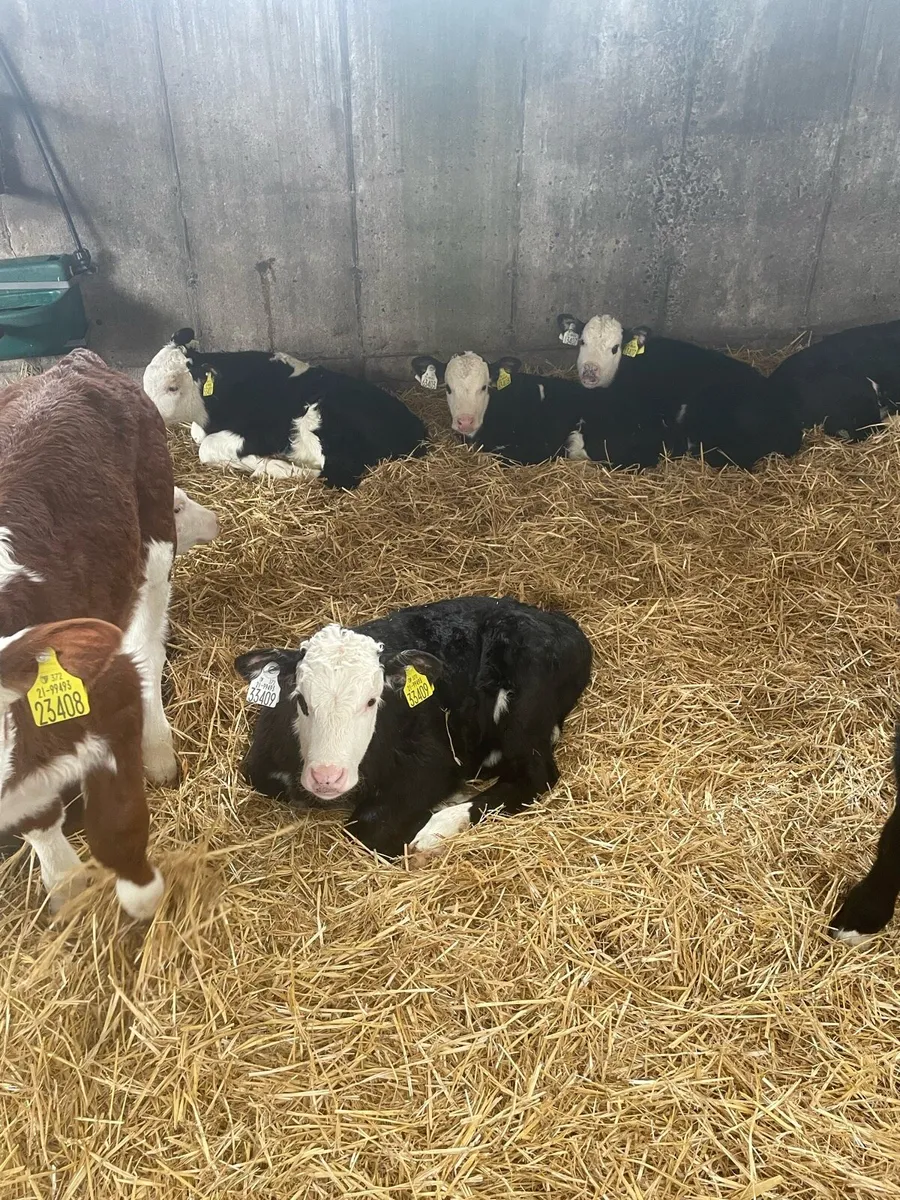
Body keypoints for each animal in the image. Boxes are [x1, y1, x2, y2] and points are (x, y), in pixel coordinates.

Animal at [0, 349, 177, 918]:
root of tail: (73, 360)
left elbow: (117, 821)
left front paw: (142, 897)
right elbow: (37, 816)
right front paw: (65, 880)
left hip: (155, 532)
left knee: (146, 644)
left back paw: (159, 748)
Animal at [143, 329, 427, 489]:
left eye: (172, 387)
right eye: (145, 381)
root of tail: (416, 429)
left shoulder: (262, 433)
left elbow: (207, 448)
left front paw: (258, 462)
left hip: (319, 420)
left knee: (335, 474)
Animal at [234, 596, 592, 859]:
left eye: (372, 701)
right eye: (302, 700)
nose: (327, 776)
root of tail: (557, 620)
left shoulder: (434, 762)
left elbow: (367, 825)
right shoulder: (259, 766)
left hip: (524, 710)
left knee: (535, 775)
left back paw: (440, 826)